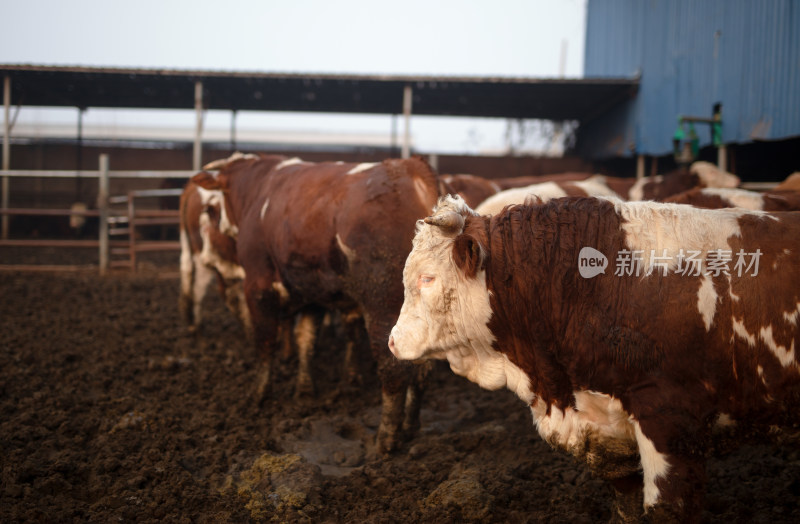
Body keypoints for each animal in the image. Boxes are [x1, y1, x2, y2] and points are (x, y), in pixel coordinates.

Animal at [195, 154, 444, 452]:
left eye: (219, 199)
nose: (220, 224)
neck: (258, 188)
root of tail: (409, 167)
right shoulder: (311, 293)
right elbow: (306, 340)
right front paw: (304, 389)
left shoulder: (257, 285)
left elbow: (265, 341)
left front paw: (259, 394)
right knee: (422, 370)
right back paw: (410, 427)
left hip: (382, 305)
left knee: (393, 369)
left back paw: (386, 438)